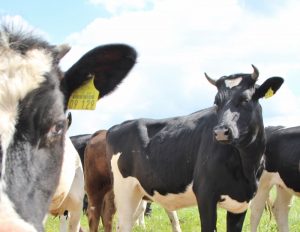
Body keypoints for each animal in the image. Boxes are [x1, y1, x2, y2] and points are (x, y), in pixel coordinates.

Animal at [107, 65, 284, 232]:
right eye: (216, 102)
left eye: (245, 99)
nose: (220, 131)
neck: (246, 165)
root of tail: (119, 126)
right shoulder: (205, 194)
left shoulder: (241, 202)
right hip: (123, 190)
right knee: (124, 224)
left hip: (138, 192)